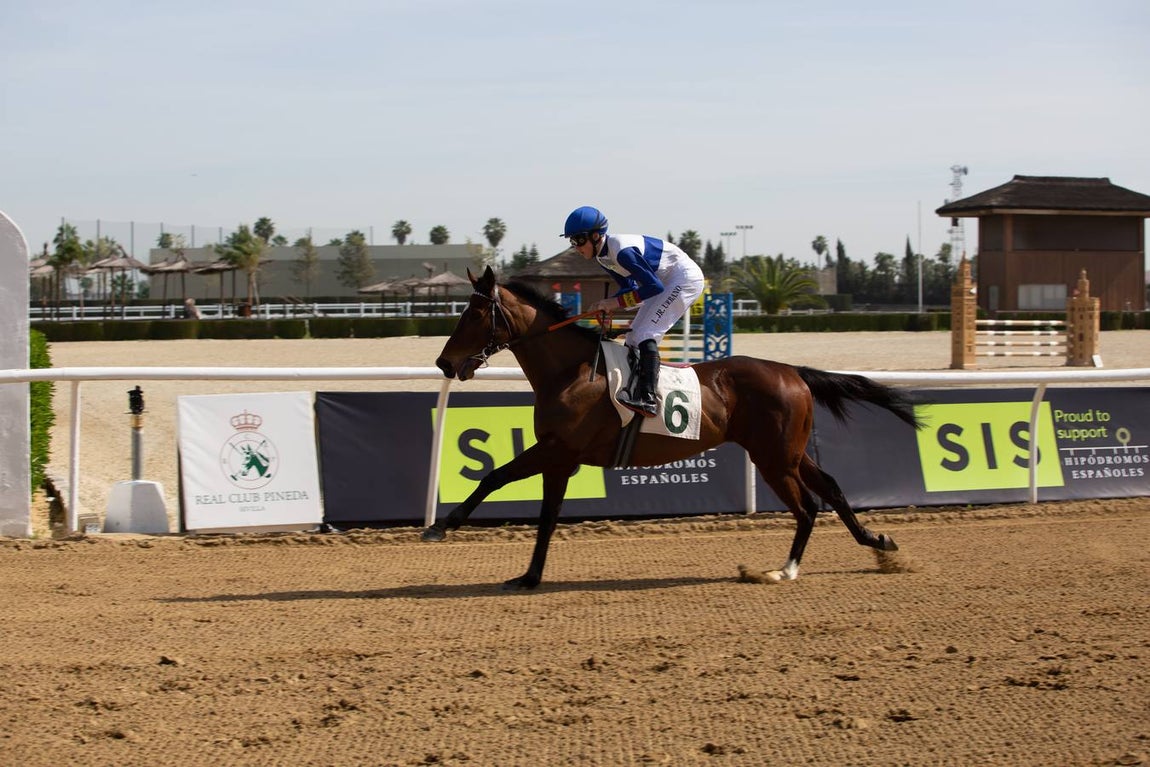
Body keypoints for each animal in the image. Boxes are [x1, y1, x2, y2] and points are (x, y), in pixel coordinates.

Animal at [423, 266, 921, 590]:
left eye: (473, 314)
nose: (444, 362)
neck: (571, 372)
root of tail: (793, 372)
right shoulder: (560, 458)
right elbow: (545, 515)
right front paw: (528, 576)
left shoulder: (557, 450)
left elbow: (495, 477)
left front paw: (441, 527)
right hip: (789, 452)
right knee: (831, 488)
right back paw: (877, 542)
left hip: (775, 458)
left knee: (807, 507)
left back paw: (783, 570)